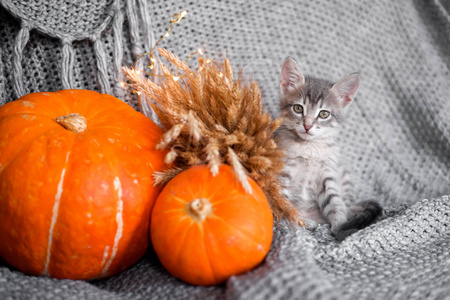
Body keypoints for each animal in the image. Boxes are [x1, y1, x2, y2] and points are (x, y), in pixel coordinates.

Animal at [272, 56, 382, 241]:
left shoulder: (326, 176)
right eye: (298, 108)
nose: (307, 125)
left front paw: (341, 227)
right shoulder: (281, 175)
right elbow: (284, 205)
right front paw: (294, 229)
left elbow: (335, 203)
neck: (308, 148)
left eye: (324, 114)